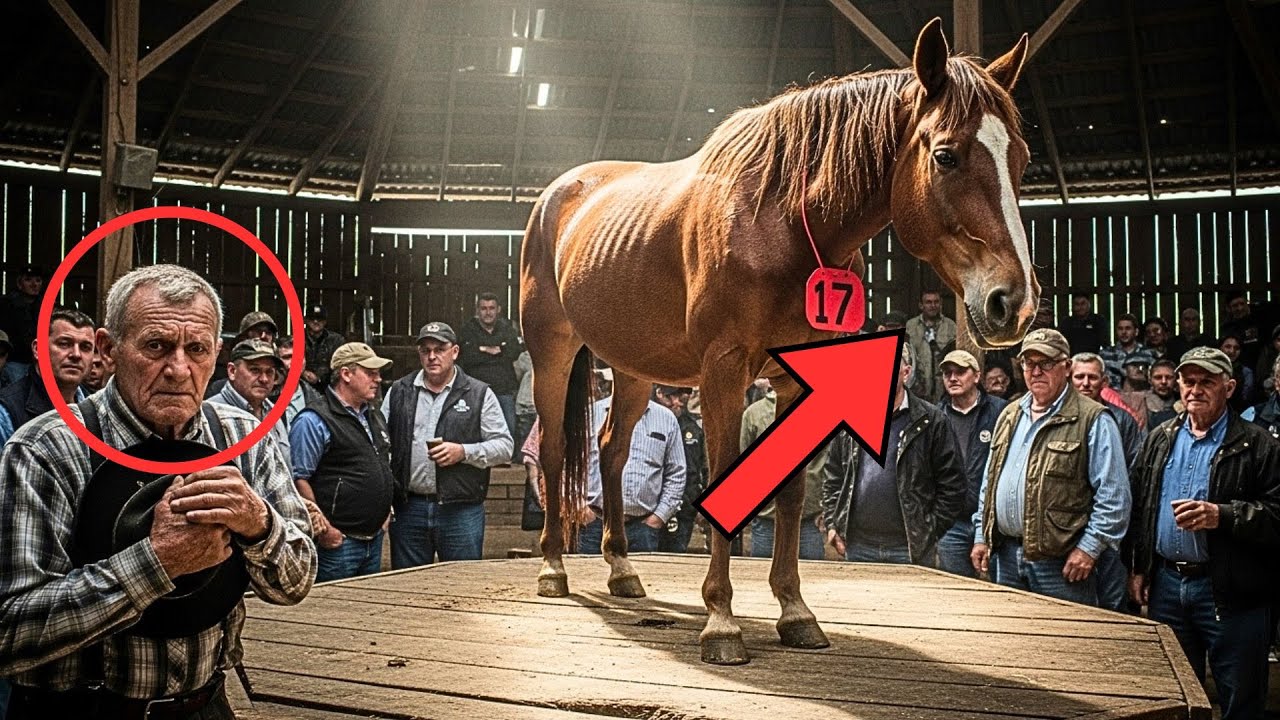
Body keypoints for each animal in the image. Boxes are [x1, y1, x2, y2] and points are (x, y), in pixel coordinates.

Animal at [519, 18, 1037, 665]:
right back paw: (552, 569)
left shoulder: (794, 380)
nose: (1012, 302)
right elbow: (721, 478)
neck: (781, 220)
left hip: (634, 366)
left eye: (1020, 158)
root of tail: (557, 194)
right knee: (557, 449)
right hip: (552, 353)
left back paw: (621, 568)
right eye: (946, 155)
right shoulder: (724, 369)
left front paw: (794, 611)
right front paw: (721, 621)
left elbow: (789, 493)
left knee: (612, 451)